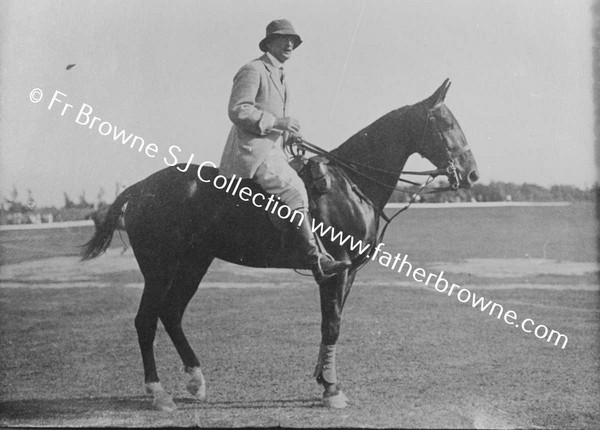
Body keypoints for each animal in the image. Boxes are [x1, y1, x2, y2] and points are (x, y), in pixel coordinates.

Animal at [82, 79, 480, 412]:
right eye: (446, 123)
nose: (472, 174)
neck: (350, 182)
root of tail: (140, 188)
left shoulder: (348, 273)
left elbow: (332, 322)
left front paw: (324, 378)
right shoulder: (334, 270)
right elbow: (331, 324)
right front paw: (331, 390)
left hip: (194, 263)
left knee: (171, 313)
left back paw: (196, 381)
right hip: (159, 268)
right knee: (146, 320)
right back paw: (158, 393)